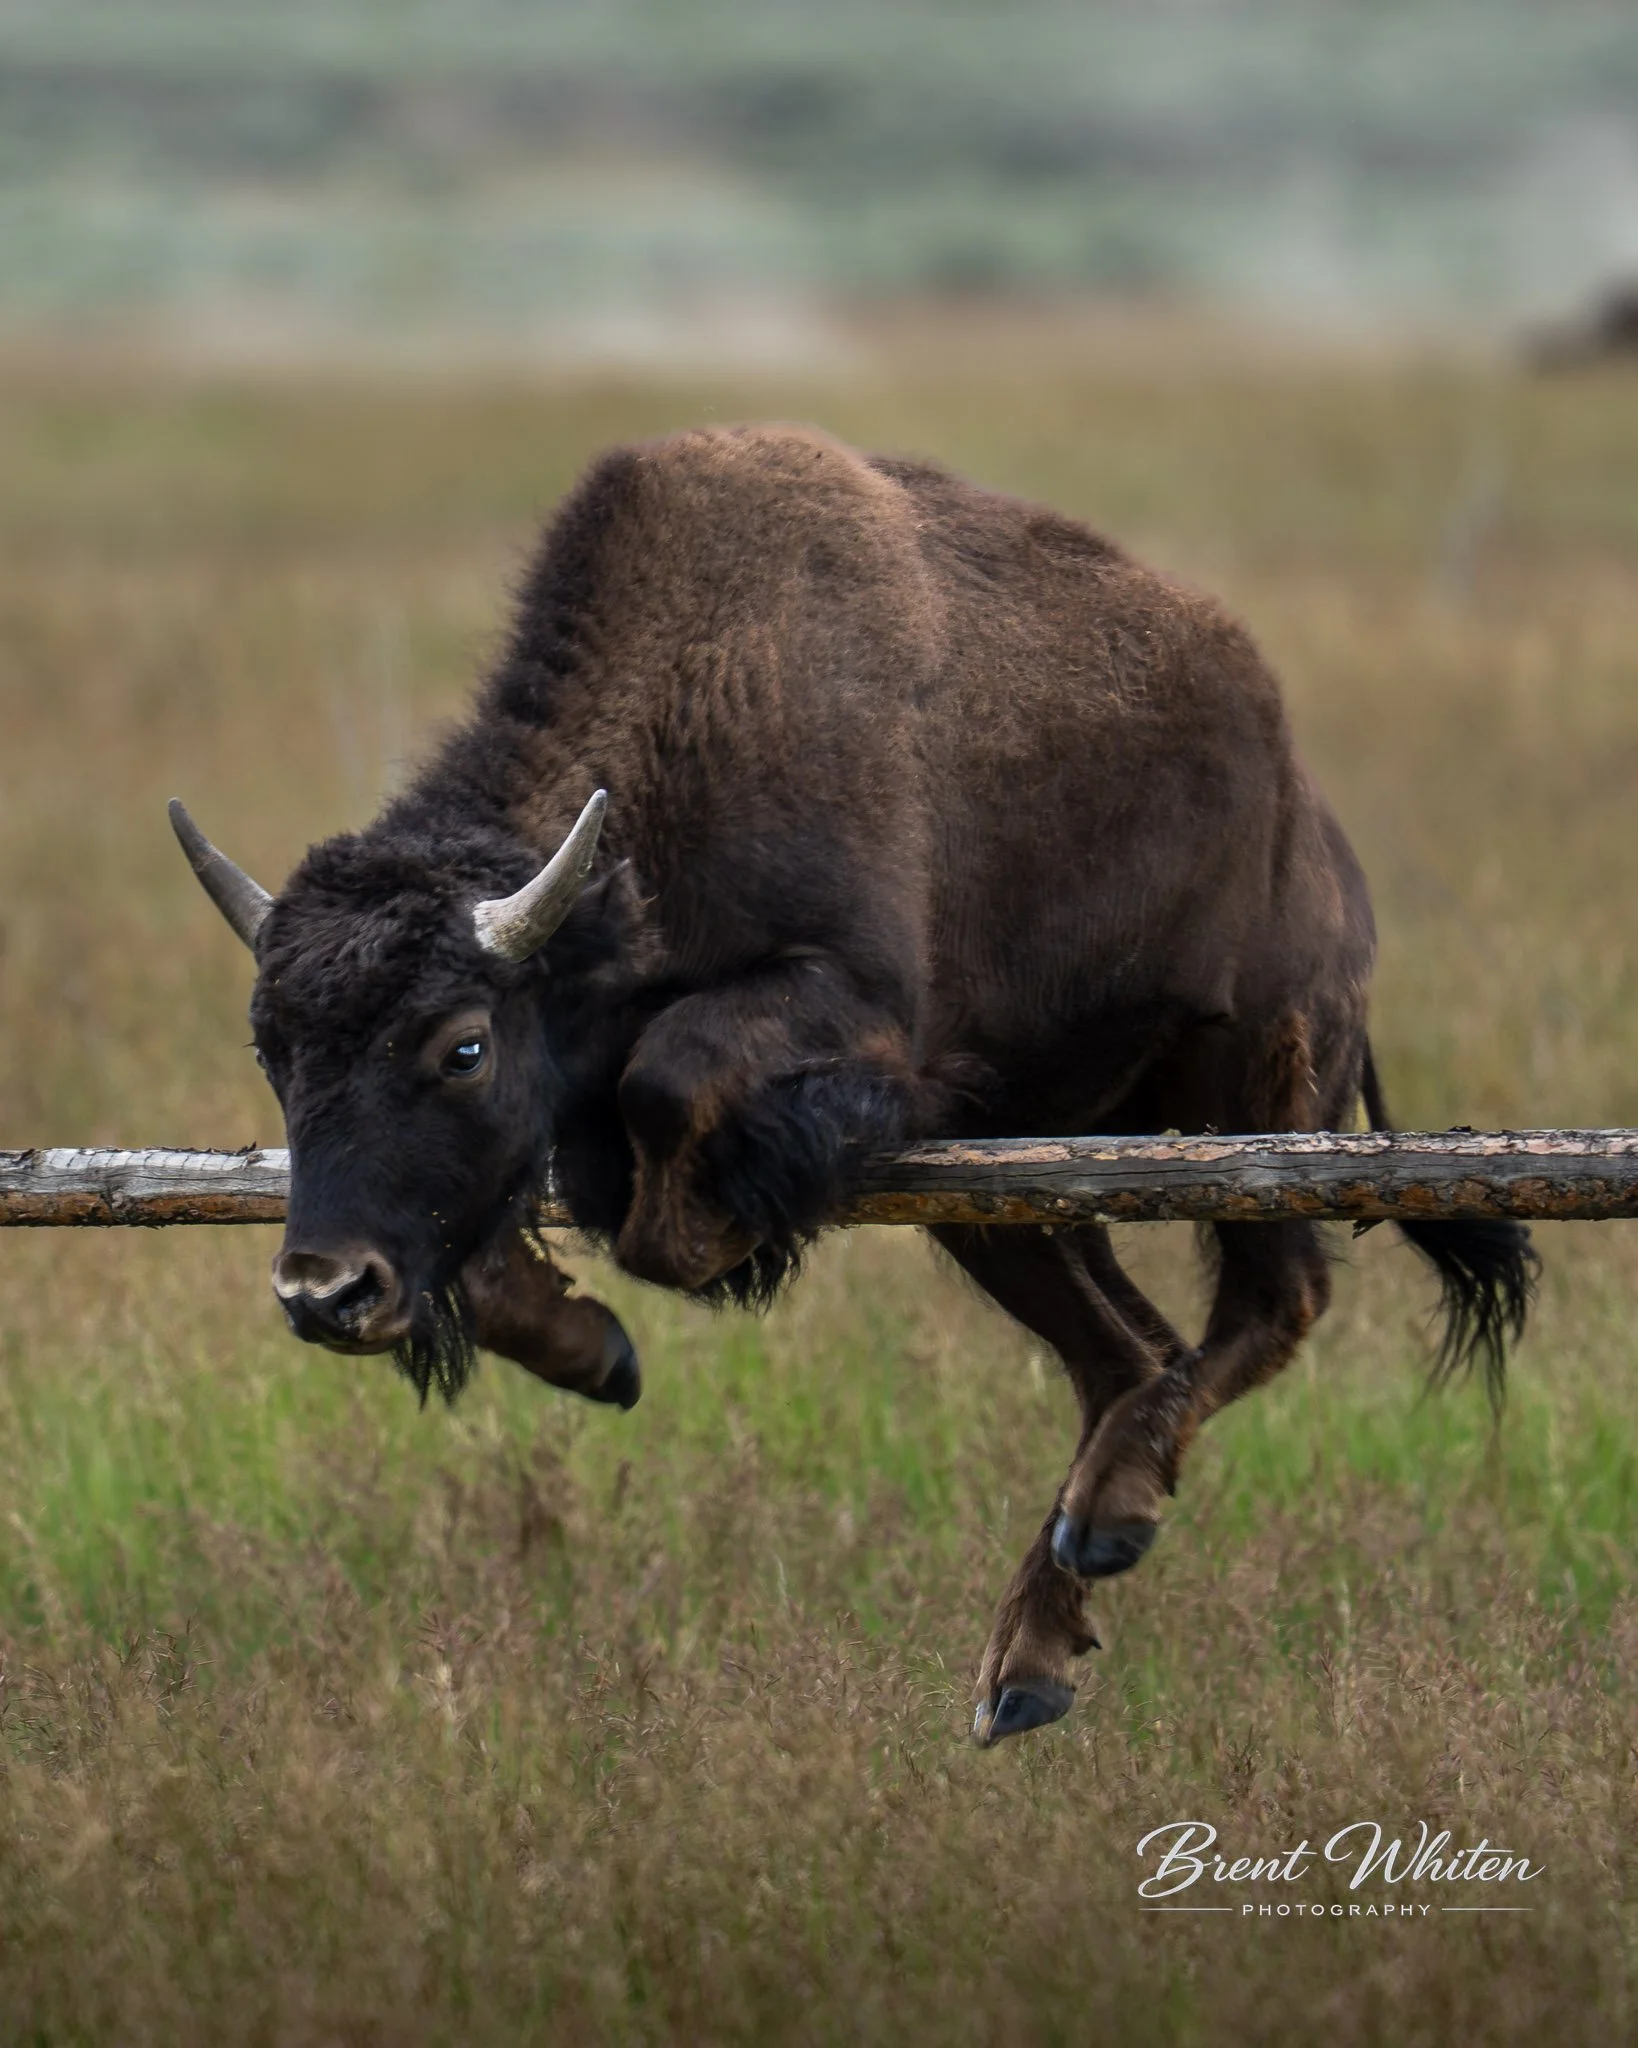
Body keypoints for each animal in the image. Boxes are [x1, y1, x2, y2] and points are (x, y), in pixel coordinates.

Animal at [172, 424, 1535, 1745]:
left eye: (462, 1044)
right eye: (271, 1045)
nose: (323, 1290)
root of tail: (1325, 840)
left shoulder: (849, 1005)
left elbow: (663, 1109)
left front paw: (709, 1245)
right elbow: (525, 1206)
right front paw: (596, 1349)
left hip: (1249, 1098)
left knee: (1271, 1300)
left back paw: (1105, 1528)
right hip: (1006, 1188)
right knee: (1128, 1352)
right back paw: (1029, 1664)